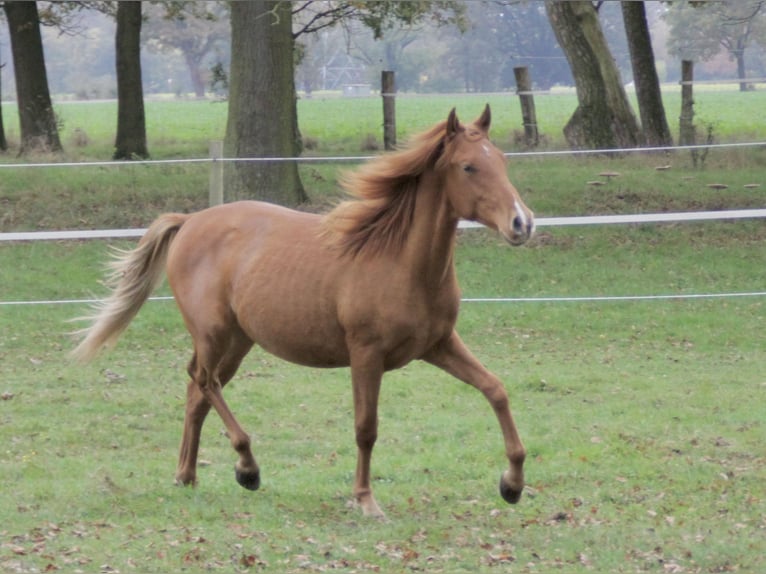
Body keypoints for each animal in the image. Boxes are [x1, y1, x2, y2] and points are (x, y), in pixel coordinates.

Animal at [75, 106, 536, 520]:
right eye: (468, 167)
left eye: (503, 161)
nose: (522, 223)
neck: (399, 260)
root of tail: (189, 221)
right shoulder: (366, 355)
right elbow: (366, 428)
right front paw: (365, 500)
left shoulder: (438, 345)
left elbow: (496, 390)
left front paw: (512, 484)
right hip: (213, 333)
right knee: (204, 382)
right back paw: (247, 468)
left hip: (238, 341)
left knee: (197, 392)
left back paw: (186, 475)